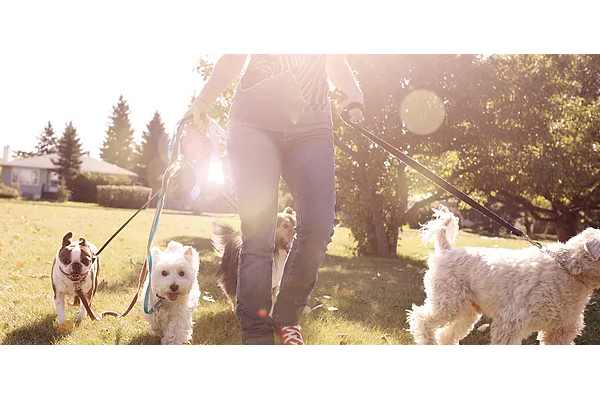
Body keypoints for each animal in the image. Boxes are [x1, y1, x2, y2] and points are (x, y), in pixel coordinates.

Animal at [406, 206, 600, 344]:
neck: (568, 270)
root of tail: (446, 250)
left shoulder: (560, 331)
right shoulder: (510, 324)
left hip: (467, 310)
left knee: (446, 334)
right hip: (448, 303)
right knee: (421, 319)